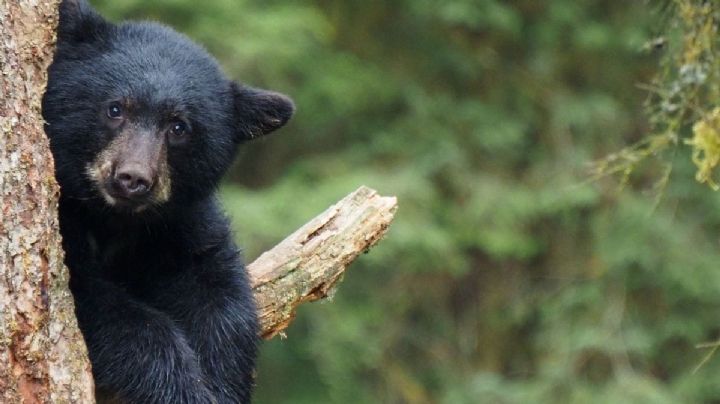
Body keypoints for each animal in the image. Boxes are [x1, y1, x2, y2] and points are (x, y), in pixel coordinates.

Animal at [41, 1, 294, 403]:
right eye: (116, 108)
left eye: (179, 127)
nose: (132, 179)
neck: (114, 219)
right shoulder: (66, 221)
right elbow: (109, 309)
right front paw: (184, 387)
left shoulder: (180, 222)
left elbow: (218, 292)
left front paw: (224, 382)